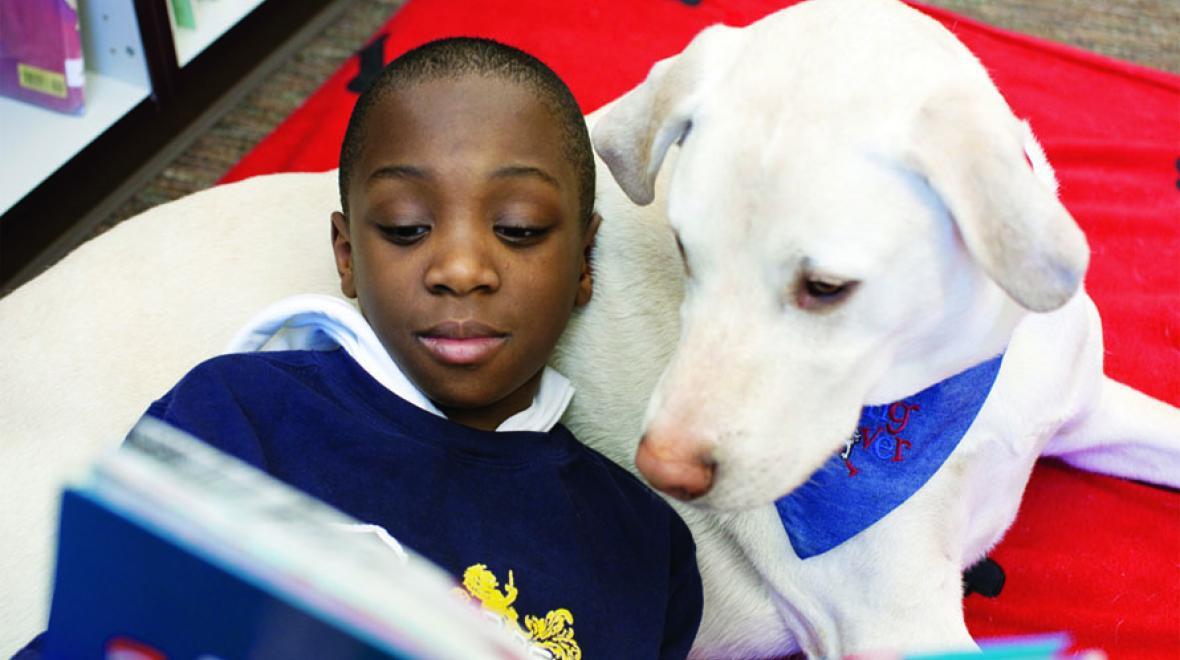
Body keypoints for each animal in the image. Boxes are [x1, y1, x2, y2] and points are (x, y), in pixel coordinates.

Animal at [0, 0, 1175, 656]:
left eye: (826, 287)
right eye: (688, 252)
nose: (662, 472)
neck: (960, 376)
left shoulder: (1088, 405)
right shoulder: (897, 629)